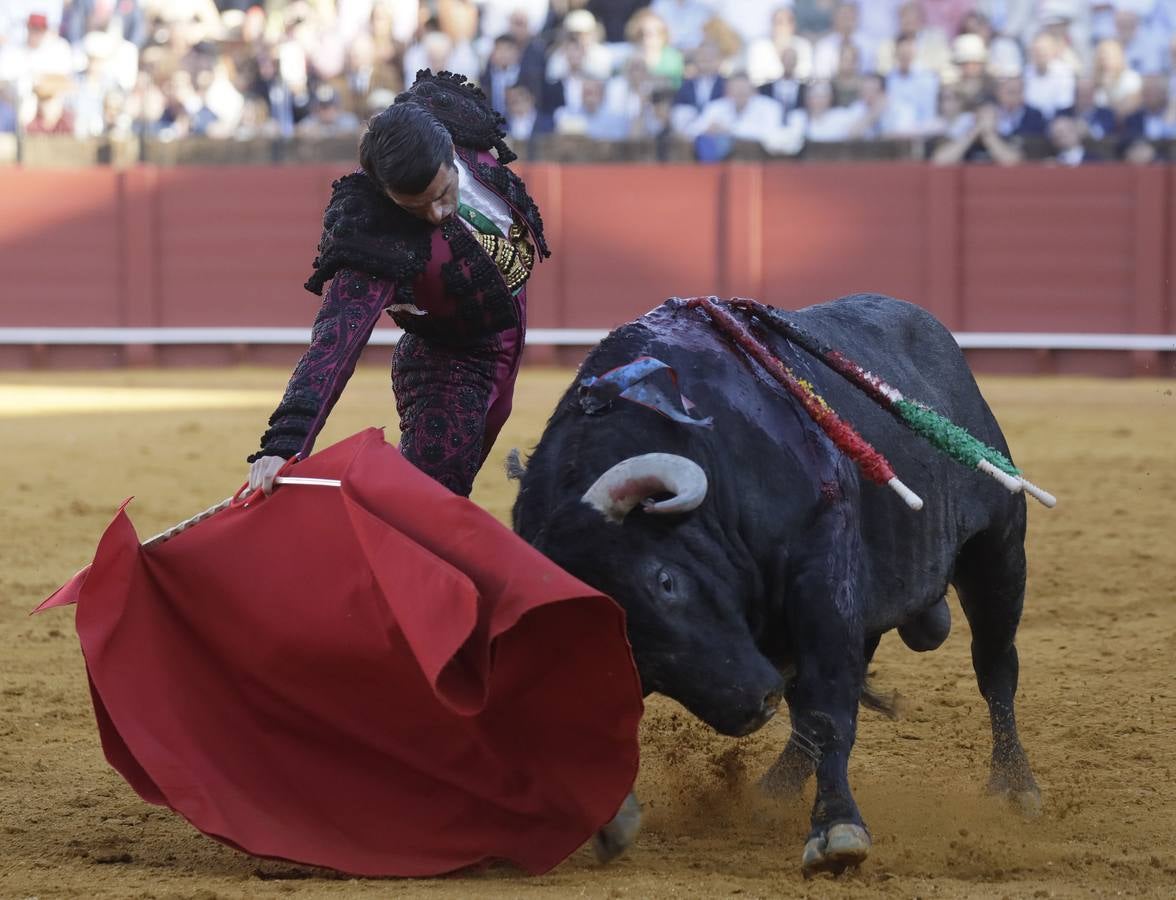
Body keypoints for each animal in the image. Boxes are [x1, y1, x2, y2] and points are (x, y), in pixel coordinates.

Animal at [512, 295, 1039, 870]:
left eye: (666, 581)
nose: (752, 703)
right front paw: (609, 816)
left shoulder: (821, 578)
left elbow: (826, 705)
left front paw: (837, 830)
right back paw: (774, 791)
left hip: (997, 552)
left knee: (994, 668)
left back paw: (1016, 787)